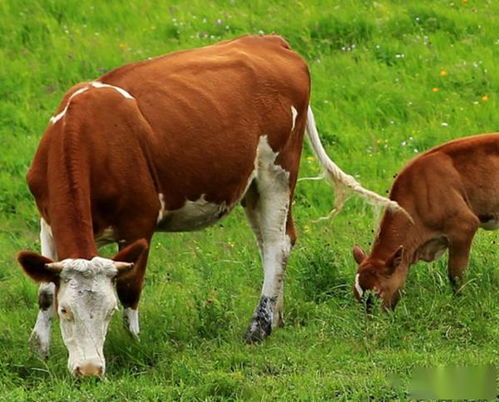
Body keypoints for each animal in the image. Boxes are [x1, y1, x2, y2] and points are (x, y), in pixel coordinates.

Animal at [16, 35, 398, 376]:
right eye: (66, 311)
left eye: (108, 312)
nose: (90, 371)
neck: (88, 135)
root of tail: (272, 41)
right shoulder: (48, 221)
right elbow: (45, 289)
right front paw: (39, 351)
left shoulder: (139, 222)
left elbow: (130, 288)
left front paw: (134, 344)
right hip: (251, 185)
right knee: (274, 242)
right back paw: (276, 316)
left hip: (278, 170)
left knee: (277, 244)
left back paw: (258, 327)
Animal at [352, 133, 499, 310]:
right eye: (357, 297)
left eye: (377, 294)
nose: (373, 319)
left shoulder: (464, 226)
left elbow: (455, 275)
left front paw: (460, 304)